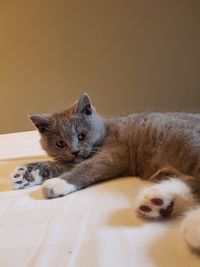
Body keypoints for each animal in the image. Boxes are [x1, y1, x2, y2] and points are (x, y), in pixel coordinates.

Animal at [10, 93, 200, 253]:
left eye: (82, 135)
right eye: (61, 143)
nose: (75, 151)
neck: (106, 129)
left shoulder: (114, 152)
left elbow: (90, 166)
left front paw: (57, 183)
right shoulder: (72, 160)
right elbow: (59, 165)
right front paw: (25, 175)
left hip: (187, 142)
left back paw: (192, 226)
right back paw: (159, 201)